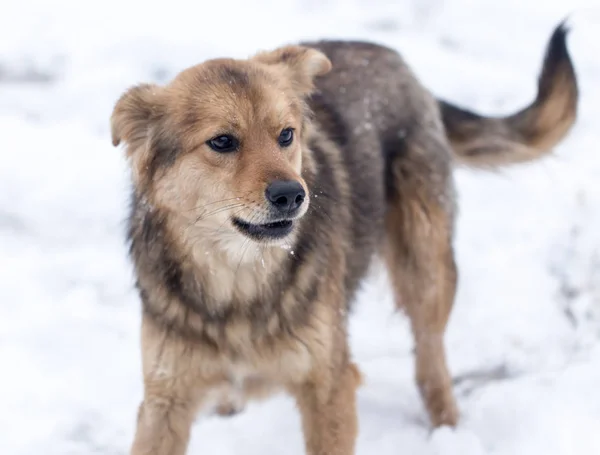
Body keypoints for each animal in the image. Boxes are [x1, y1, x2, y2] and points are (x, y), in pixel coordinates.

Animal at [111, 22, 576, 455]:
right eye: (222, 141)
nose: (292, 195)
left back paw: (447, 431)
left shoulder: (329, 385)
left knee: (431, 362)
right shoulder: (165, 399)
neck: (239, 279)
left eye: (286, 135)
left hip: (425, 266)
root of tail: (392, 57)